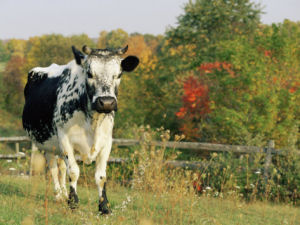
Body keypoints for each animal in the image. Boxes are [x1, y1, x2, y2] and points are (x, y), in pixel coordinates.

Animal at [22, 44, 139, 214]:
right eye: (89, 73)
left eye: (118, 74)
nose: (107, 102)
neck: (93, 122)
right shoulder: (65, 139)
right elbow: (73, 171)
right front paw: (73, 203)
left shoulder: (106, 142)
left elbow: (101, 176)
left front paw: (104, 207)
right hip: (48, 144)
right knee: (53, 169)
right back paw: (59, 196)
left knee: (61, 167)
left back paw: (64, 193)